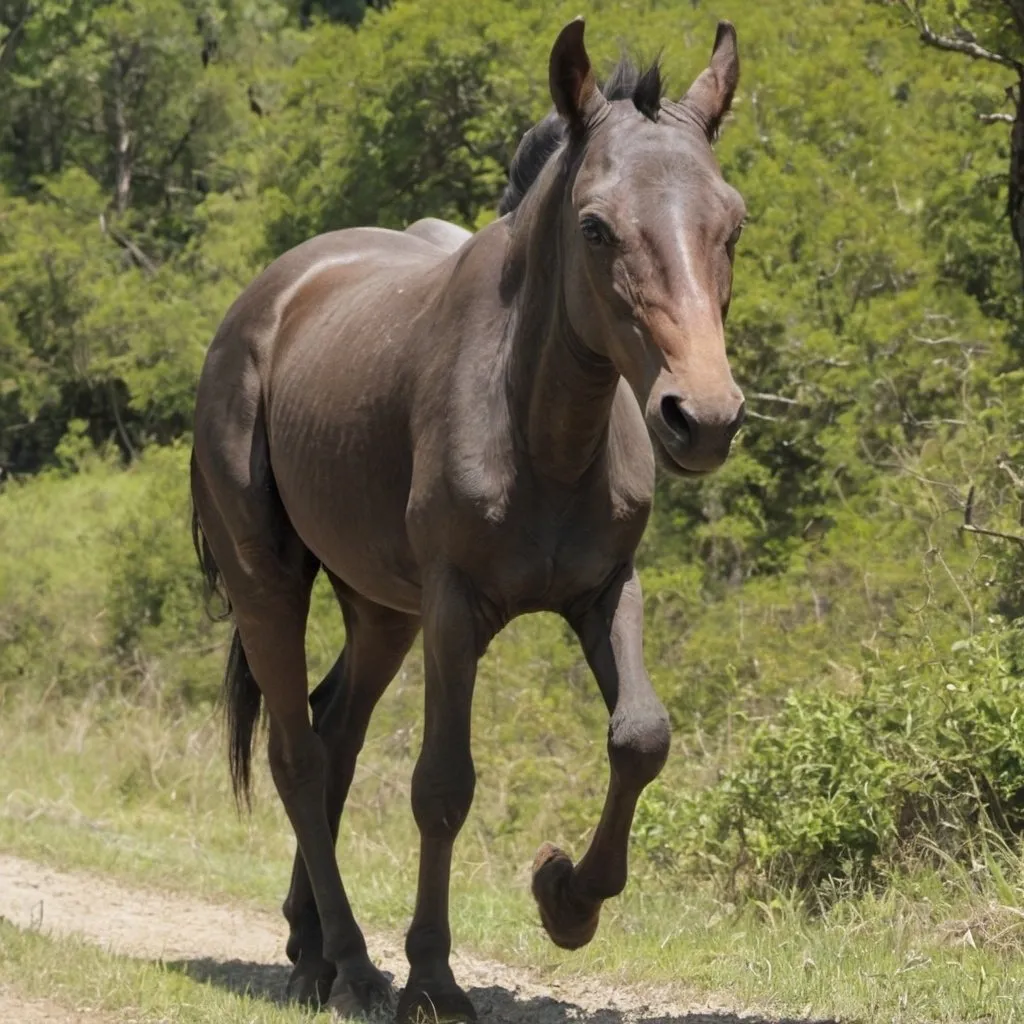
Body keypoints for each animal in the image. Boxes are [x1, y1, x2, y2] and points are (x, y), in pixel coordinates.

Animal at [190, 16, 745, 1024]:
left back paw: (311, 951)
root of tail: (262, 302)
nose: (704, 416)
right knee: (297, 755)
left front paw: (565, 897)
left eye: (733, 221)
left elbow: (640, 737)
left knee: (335, 739)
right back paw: (357, 964)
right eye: (595, 226)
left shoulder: (607, 590)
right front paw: (435, 977)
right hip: (269, 584)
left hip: (381, 612)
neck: (539, 430)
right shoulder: (456, 611)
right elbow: (442, 787)